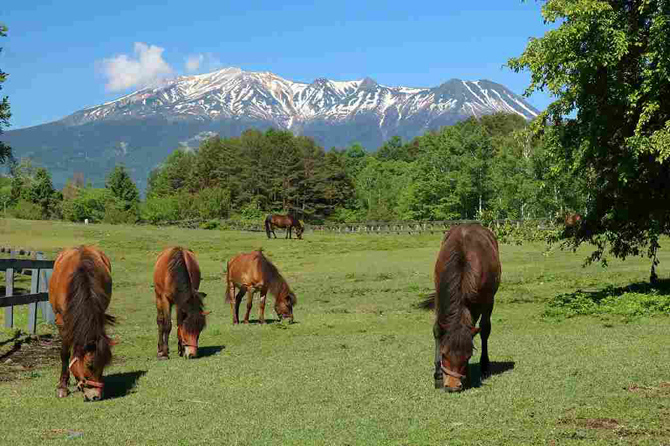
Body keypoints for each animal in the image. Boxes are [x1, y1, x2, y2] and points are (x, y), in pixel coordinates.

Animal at [48, 246, 115, 401]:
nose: (96, 396)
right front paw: (62, 387)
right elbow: (65, 353)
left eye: (104, 364)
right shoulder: (62, 322)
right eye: (89, 365)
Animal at [420, 223, 501, 392]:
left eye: (467, 356)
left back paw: (484, 365)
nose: (452, 386)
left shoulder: (478, 303)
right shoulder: (441, 298)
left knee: (485, 329)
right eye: (444, 354)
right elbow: (437, 330)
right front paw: (438, 375)